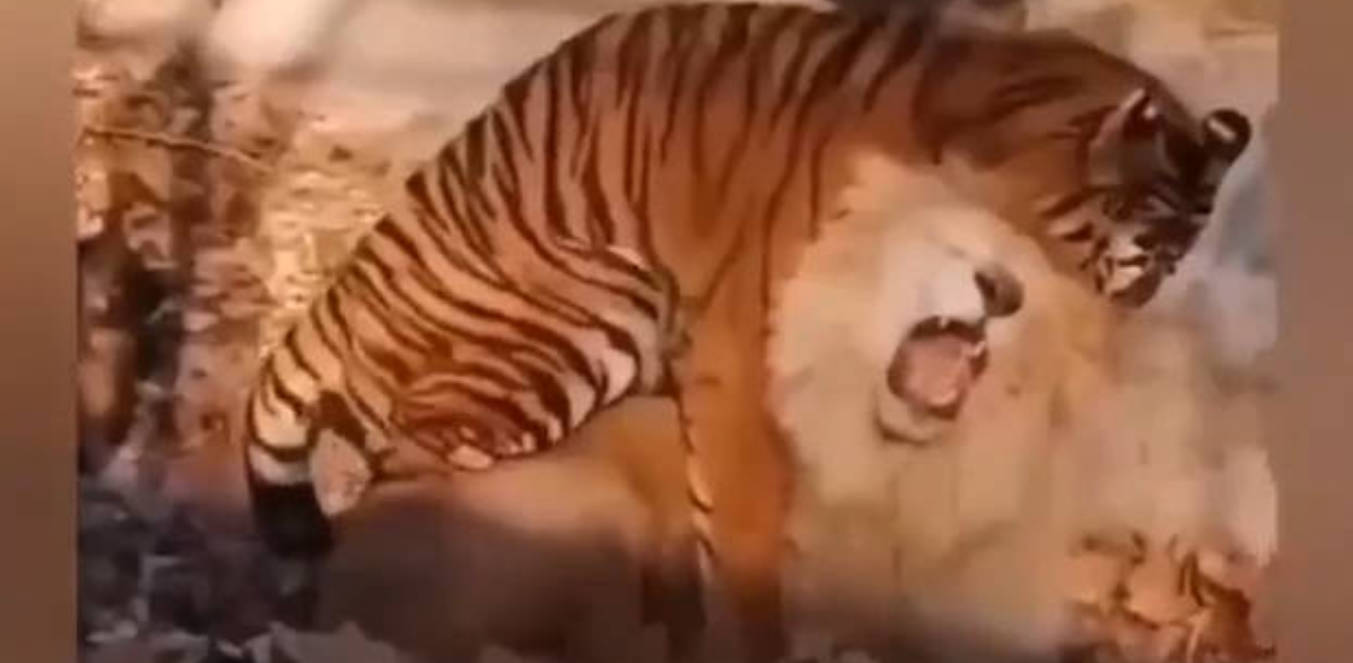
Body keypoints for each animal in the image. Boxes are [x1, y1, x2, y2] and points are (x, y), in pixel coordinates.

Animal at [240, 1, 1252, 659]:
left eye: (1162, 273)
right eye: (1132, 256)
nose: (1086, 326)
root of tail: (349, 284)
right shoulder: (740, 364)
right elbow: (752, 543)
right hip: (604, 294)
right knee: (407, 452)